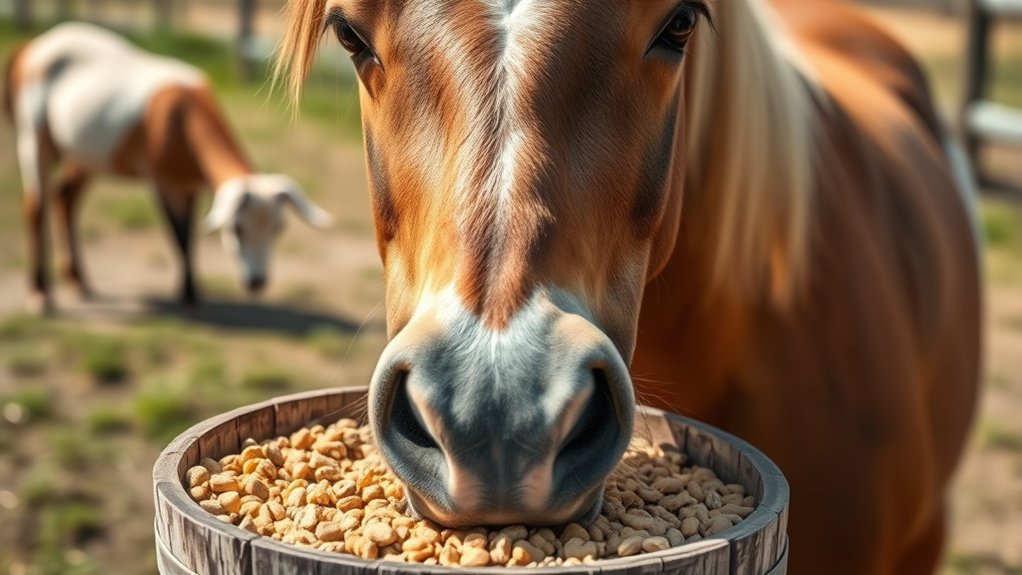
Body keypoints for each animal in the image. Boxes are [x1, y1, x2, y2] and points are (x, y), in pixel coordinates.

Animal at [4, 22, 334, 313]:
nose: (257, 282)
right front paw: (188, 297)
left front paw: (190, 293)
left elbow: (190, 235)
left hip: (85, 155)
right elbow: (179, 236)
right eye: (236, 228)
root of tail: (32, 49)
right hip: (35, 135)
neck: (181, 115)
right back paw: (40, 295)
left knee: (65, 198)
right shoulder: (162, 183)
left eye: (278, 228)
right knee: (35, 205)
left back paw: (78, 281)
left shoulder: (190, 187)